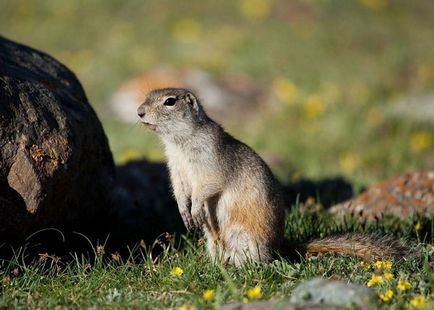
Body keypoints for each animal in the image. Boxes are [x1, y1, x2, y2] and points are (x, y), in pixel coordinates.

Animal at [137, 88, 408, 266]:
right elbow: (179, 188)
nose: (139, 112)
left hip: (243, 238)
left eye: (170, 101)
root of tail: (280, 245)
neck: (179, 142)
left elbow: (207, 185)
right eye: (148, 95)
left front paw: (194, 210)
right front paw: (184, 211)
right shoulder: (175, 166)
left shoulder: (209, 161)